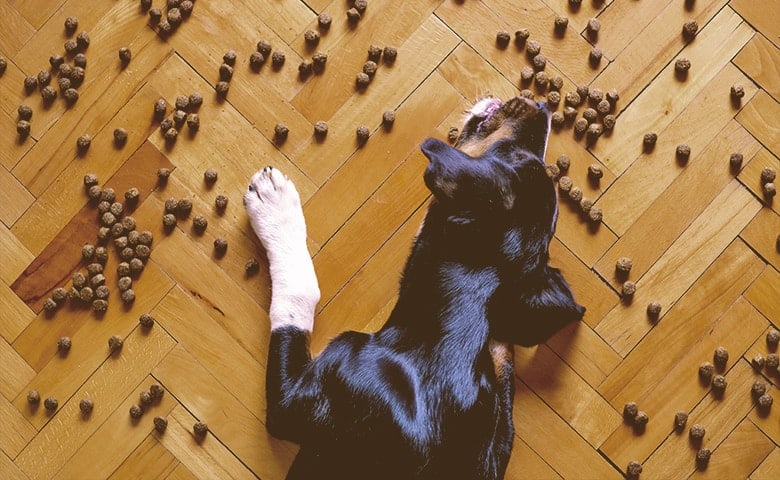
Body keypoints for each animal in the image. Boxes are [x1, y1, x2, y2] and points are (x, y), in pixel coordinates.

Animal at [245, 95, 584, 478]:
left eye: (513, 155)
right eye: (524, 155)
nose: (542, 106)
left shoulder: (292, 403)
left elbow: (299, 297)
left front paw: (275, 207)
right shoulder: (500, 373)